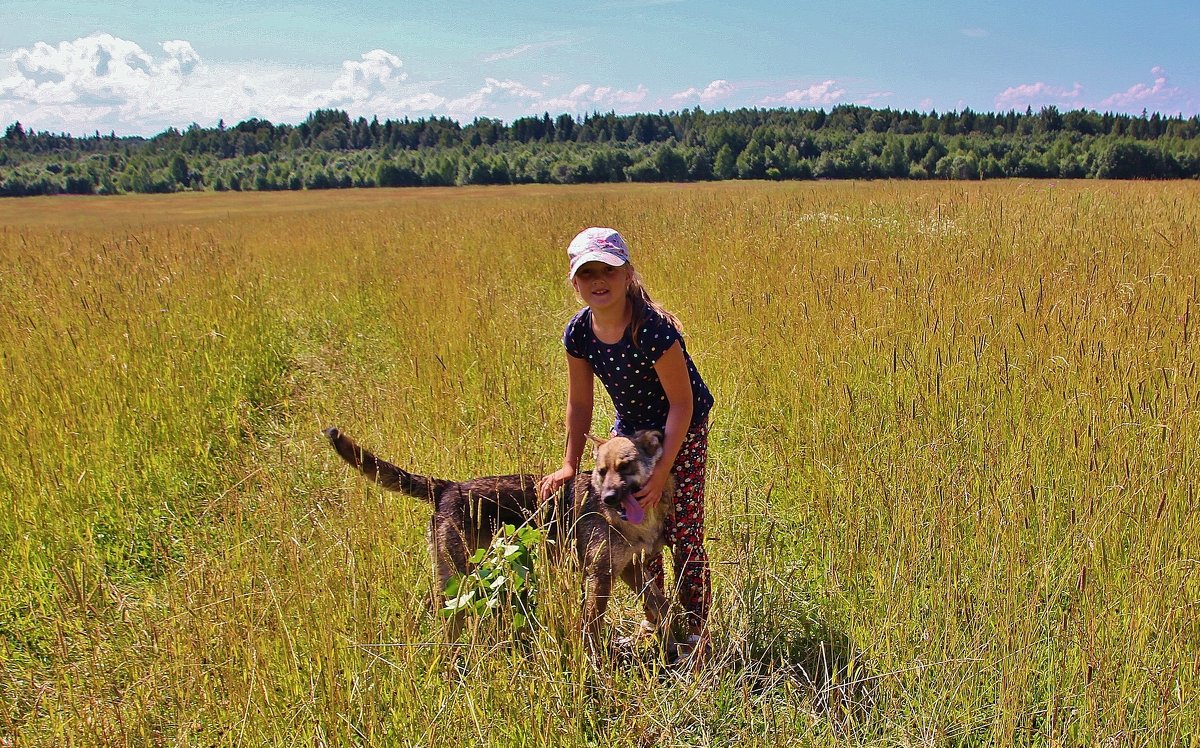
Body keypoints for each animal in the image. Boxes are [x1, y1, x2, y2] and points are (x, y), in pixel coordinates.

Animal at [321, 427, 676, 662]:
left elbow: (660, 605)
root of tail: (446, 487)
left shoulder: (629, 568)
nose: (608, 498)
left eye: (626, 467)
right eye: (602, 472)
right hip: (456, 578)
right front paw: (595, 662)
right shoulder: (599, 576)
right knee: (442, 617)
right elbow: (591, 626)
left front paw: (675, 640)